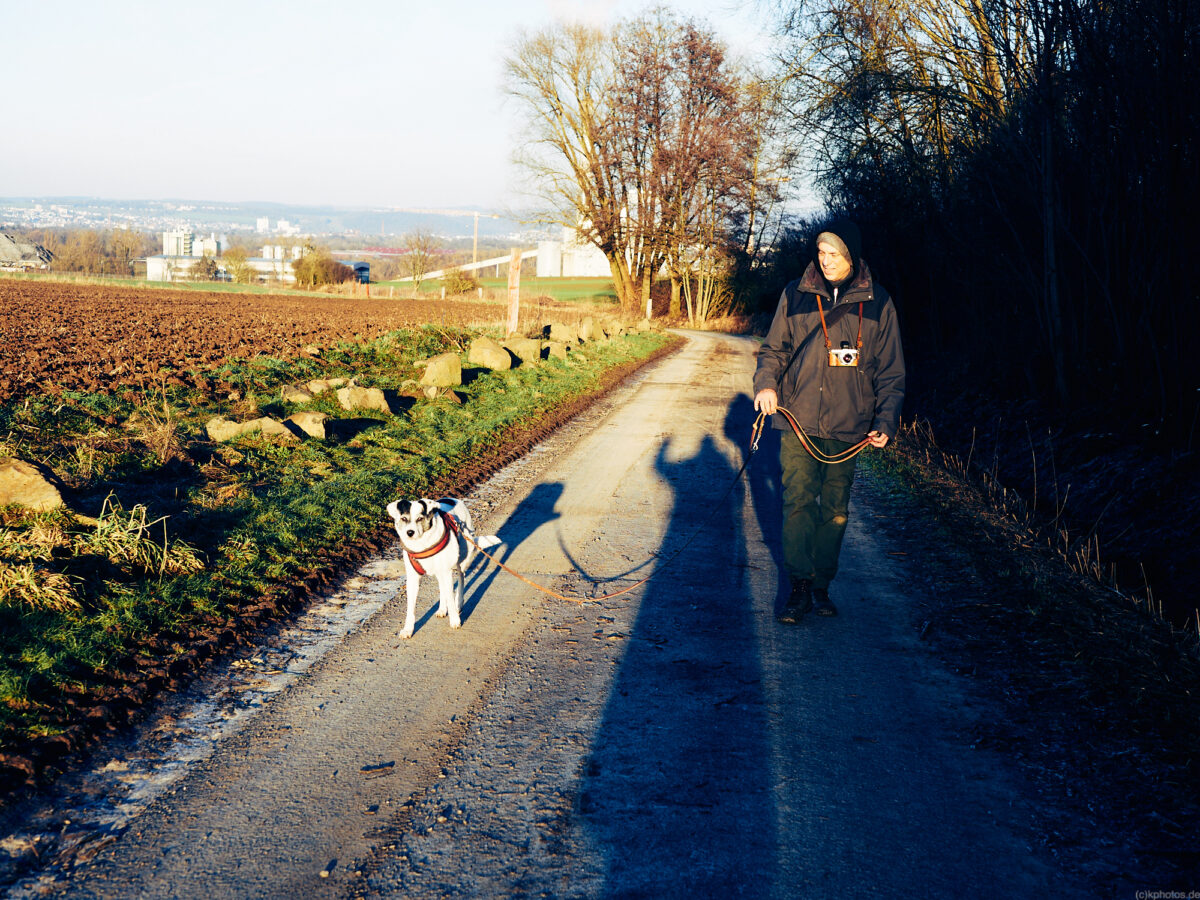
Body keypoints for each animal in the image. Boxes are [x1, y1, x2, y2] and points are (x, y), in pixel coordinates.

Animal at [384, 501, 496, 643]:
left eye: (419, 518)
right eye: (403, 518)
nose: (409, 532)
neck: (421, 544)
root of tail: (454, 499)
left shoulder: (447, 571)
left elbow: (450, 597)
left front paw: (455, 620)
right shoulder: (413, 579)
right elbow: (410, 608)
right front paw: (408, 629)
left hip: (460, 559)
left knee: (461, 577)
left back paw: (459, 602)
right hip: (440, 570)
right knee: (443, 587)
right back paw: (442, 608)